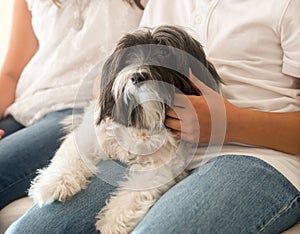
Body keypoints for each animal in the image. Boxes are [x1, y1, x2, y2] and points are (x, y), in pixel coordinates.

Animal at [29, 24, 221, 233]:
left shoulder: (161, 166)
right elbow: (69, 157)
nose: (137, 75)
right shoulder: (89, 137)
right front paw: (55, 183)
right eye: (130, 56)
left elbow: (136, 192)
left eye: (164, 53)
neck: (141, 119)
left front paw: (113, 221)